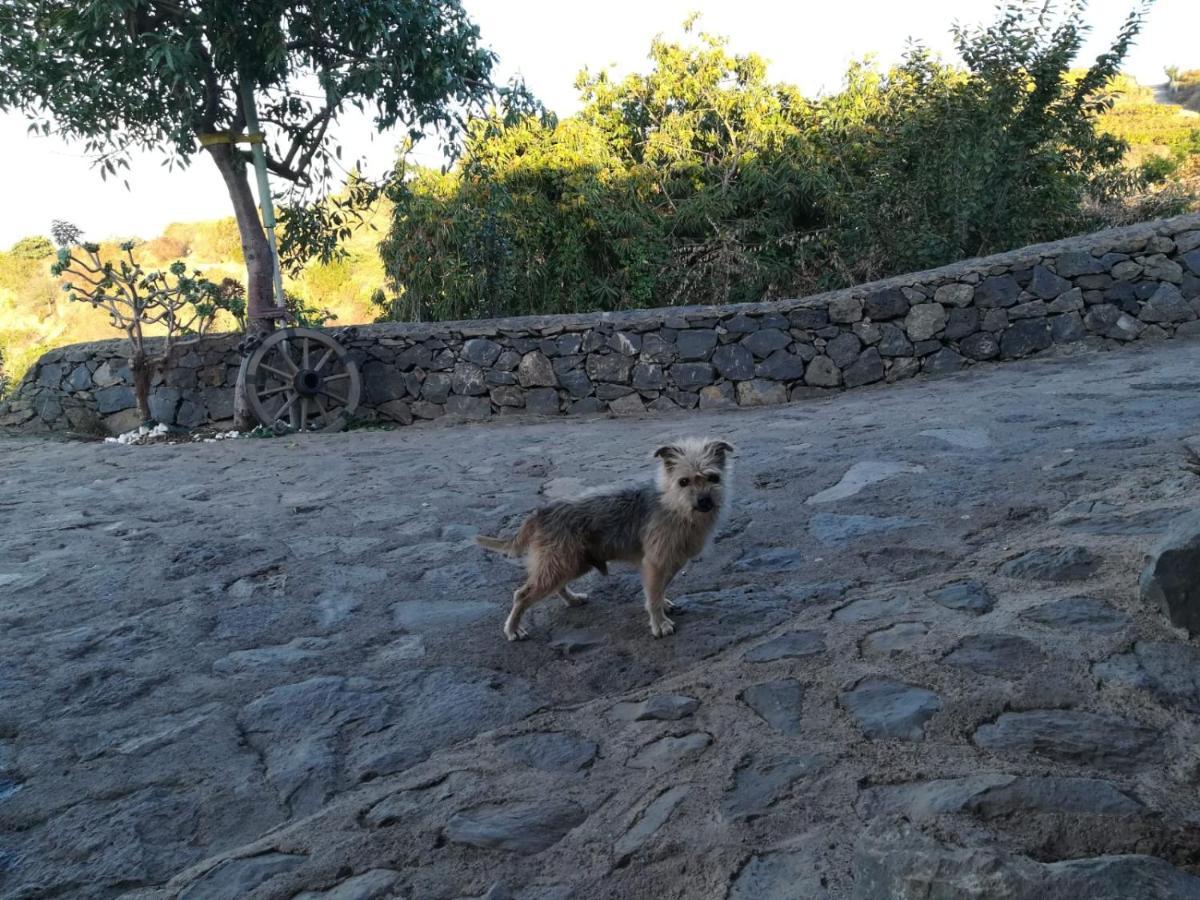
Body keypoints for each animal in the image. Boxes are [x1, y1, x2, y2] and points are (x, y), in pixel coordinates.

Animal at [477, 441, 729, 643]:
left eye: (713, 477)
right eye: (684, 481)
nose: (704, 501)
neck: (675, 507)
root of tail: (541, 513)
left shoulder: (673, 561)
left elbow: (658, 588)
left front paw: (662, 603)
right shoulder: (656, 562)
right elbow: (653, 594)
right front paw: (659, 623)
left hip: (571, 563)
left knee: (556, 584)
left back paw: (572, 599)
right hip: (562, 561)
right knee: (522, 595)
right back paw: (513, 629)